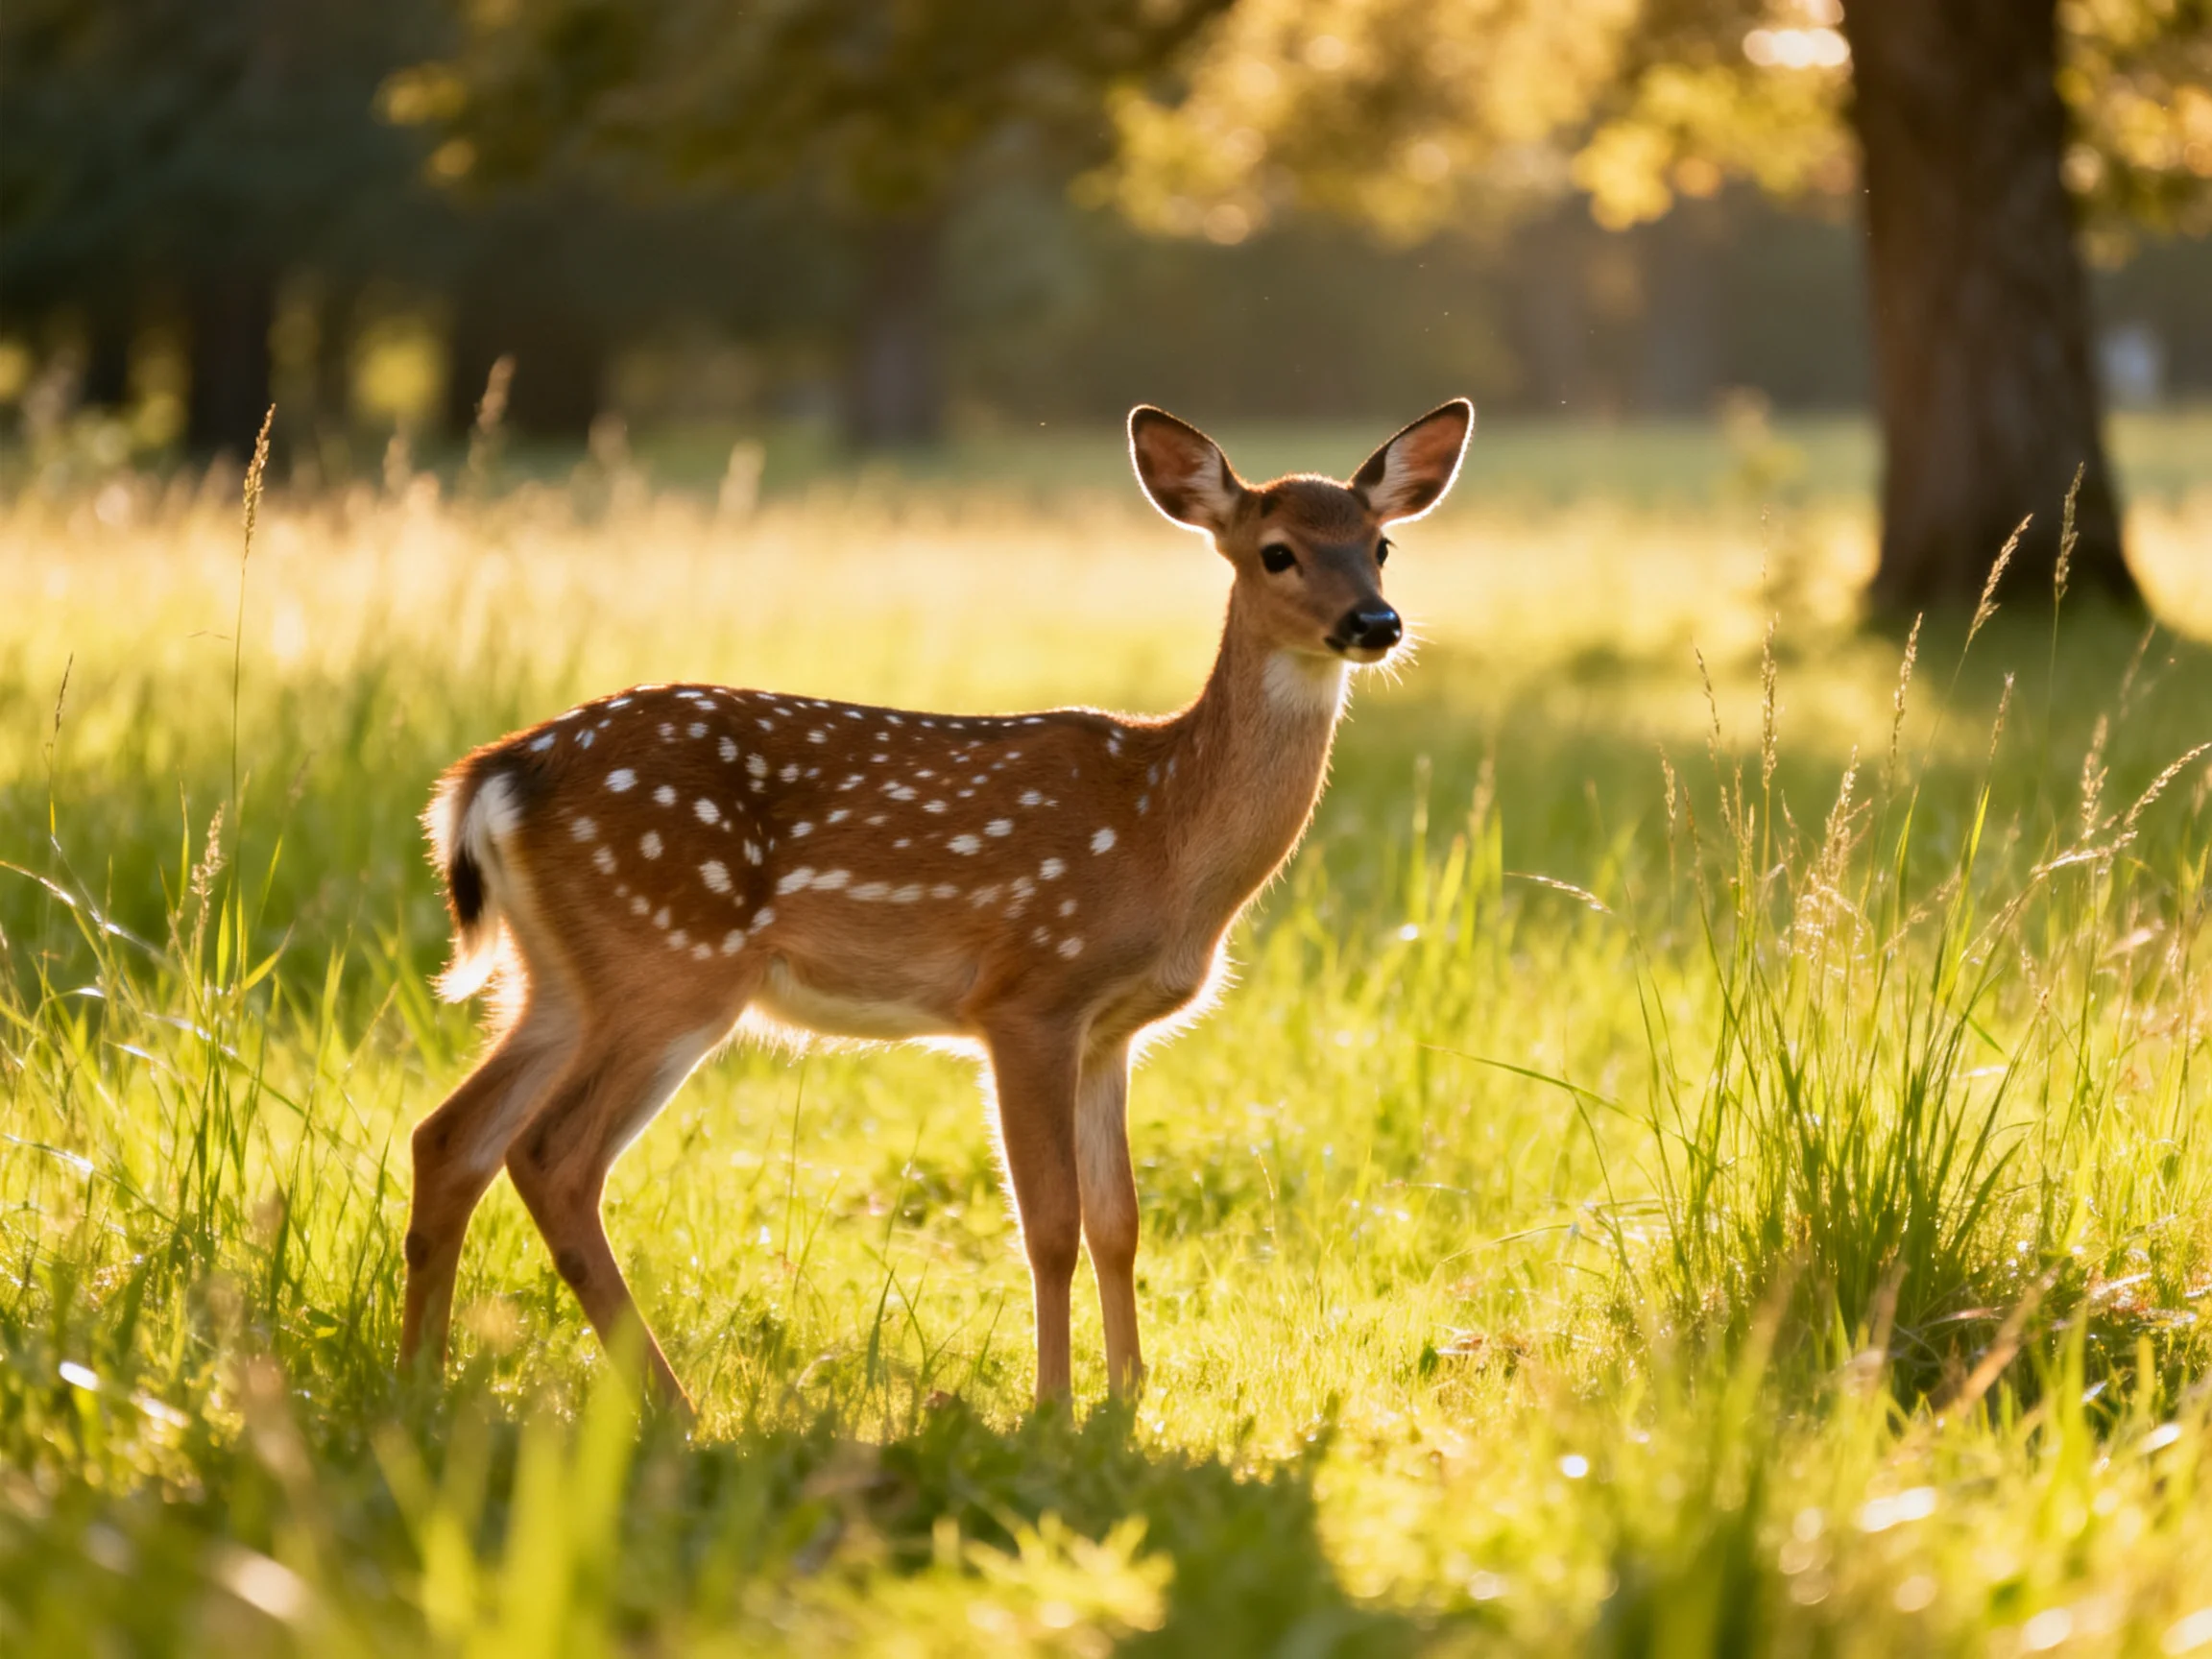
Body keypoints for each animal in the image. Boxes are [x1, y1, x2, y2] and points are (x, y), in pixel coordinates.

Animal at [399, 399, 1474, 1412]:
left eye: (1381, 545)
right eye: (1277, 551)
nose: (1376, 624)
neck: (1163, 832)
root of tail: (493, 776)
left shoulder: (1111, 1032)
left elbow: (1119, 1221)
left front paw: (1131, 1396)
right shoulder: (1029, 994)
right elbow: (1051, 1224)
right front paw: (1055, 1405)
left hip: (557, 979)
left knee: (451, 1137)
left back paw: (423, 1382)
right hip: (669, 962)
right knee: (553, 1156)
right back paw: (673, 1407)